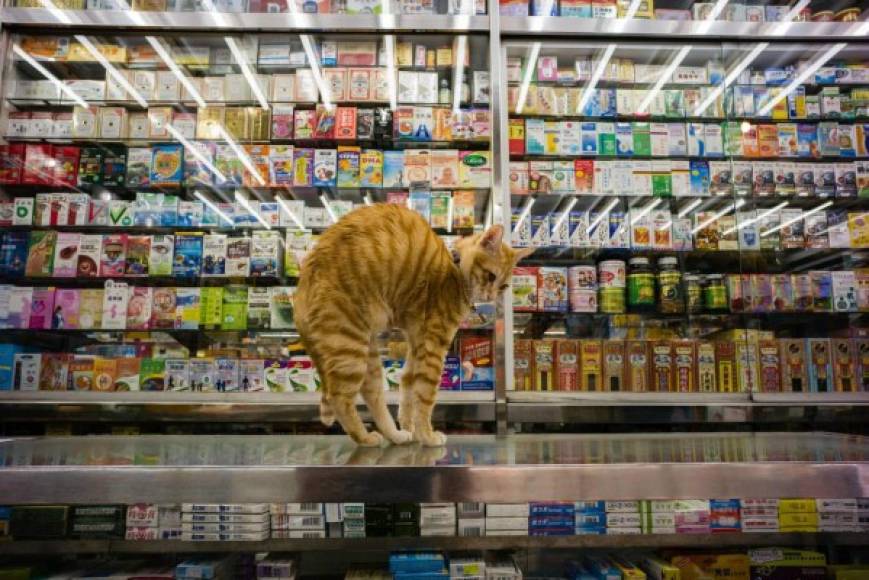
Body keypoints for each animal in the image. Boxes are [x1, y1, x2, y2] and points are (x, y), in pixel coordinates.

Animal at [294, 205, 532, 448]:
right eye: (490, 276)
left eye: (504, 286)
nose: (492, 297)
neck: (454, 269)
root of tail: (301, 284)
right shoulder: (435, 345)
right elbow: (426, 395)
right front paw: (427, 434)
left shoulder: (417, 342)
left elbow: (408, 383)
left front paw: (412, 429)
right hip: (350, 347)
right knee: (339, 398)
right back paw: (365, 437)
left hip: (368, 355)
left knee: (372, 395)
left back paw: (396, 435)